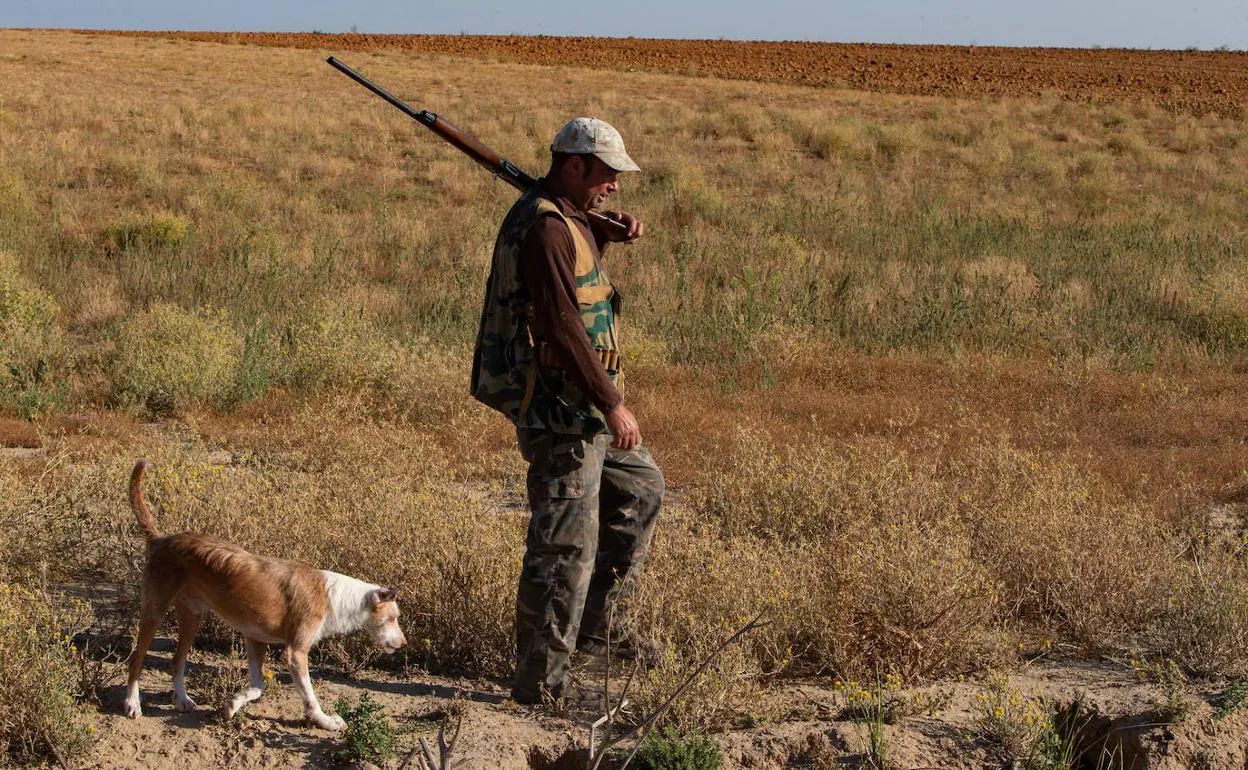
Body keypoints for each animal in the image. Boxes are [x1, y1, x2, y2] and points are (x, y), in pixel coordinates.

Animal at [121, 459, 406, 728]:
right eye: (393, 618)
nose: (404, 645)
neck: (334, 596)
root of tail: (161, 539)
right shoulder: (295, 653)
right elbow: (309, 699)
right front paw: (325, 721)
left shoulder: (255, 639)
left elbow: (258, 687)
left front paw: (232, 704)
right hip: (155, 613)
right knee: (136, 660)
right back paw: (132, 703)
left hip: (193, 617)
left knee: (176, 661)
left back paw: (181, 699)